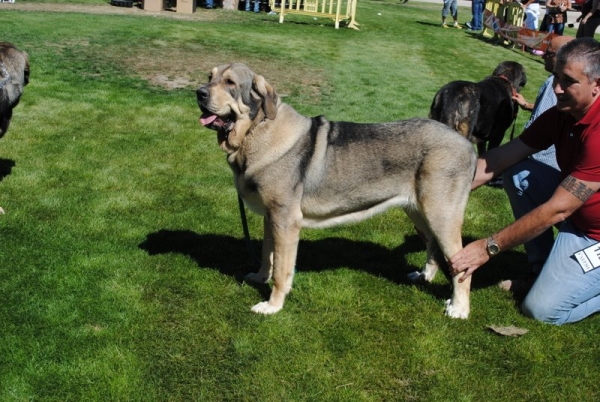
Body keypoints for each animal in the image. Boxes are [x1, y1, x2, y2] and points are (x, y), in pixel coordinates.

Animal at [197, 62, 478, 318]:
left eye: (230, 83)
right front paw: (258, 277)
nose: (199, 93)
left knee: (461, 266)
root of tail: (465, 144)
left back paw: (459, 309)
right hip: (419, 212)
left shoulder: (285, 221)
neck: (257, 129)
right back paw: (424, 275)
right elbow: (268, 255)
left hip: (441, 215)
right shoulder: (271, 218)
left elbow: (281, 270)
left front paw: (272, 305)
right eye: (210, 77)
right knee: (433, 246)